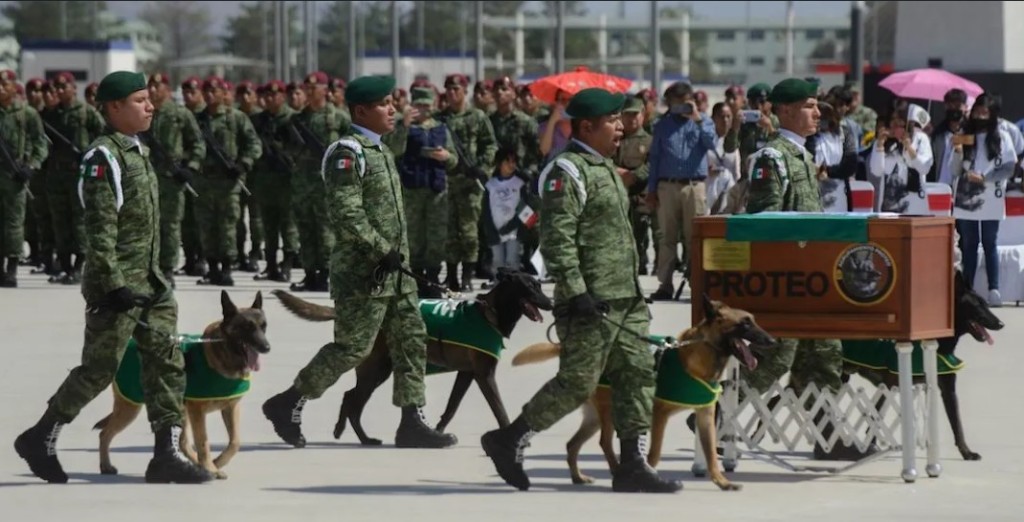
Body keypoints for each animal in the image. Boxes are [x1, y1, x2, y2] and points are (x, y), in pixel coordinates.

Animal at [93, 290, 268, 479]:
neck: (223, 351)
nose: (267, 347)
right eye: (246, 327)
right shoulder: (197, 411)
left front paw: (217, 462)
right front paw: (211, 466)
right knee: (104, 433)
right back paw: (106, 465)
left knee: (183, 443)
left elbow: (235, 441)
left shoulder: (231, 407)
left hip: (177, 410)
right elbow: (203, 442)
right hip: (131, 409)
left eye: (263, 326)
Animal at [272, 268, 557, 444]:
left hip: (379, 370)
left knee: (351, 399)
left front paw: (438, 432)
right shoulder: (484, 374)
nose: (552, 304)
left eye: (540, 285)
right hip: (377, 370)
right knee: (352, 399)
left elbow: (451, 407)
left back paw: (360, 437)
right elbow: (500, 409)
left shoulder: (467, 374)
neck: (490, 312)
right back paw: (353, 434)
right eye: (530, 287)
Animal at [516, 294, 770, 491]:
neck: (699, 355)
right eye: (745, 323)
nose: (771, 340)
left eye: (754, 321)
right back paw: (618, 473)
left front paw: (722, 482)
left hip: (595, 418)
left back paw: (579, 477)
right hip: (609, 412)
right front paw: (650, 475)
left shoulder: (705, 417)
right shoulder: (659, 414)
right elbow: (654, 452)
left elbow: (710, 455)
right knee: (604, 442)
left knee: (572, 444)